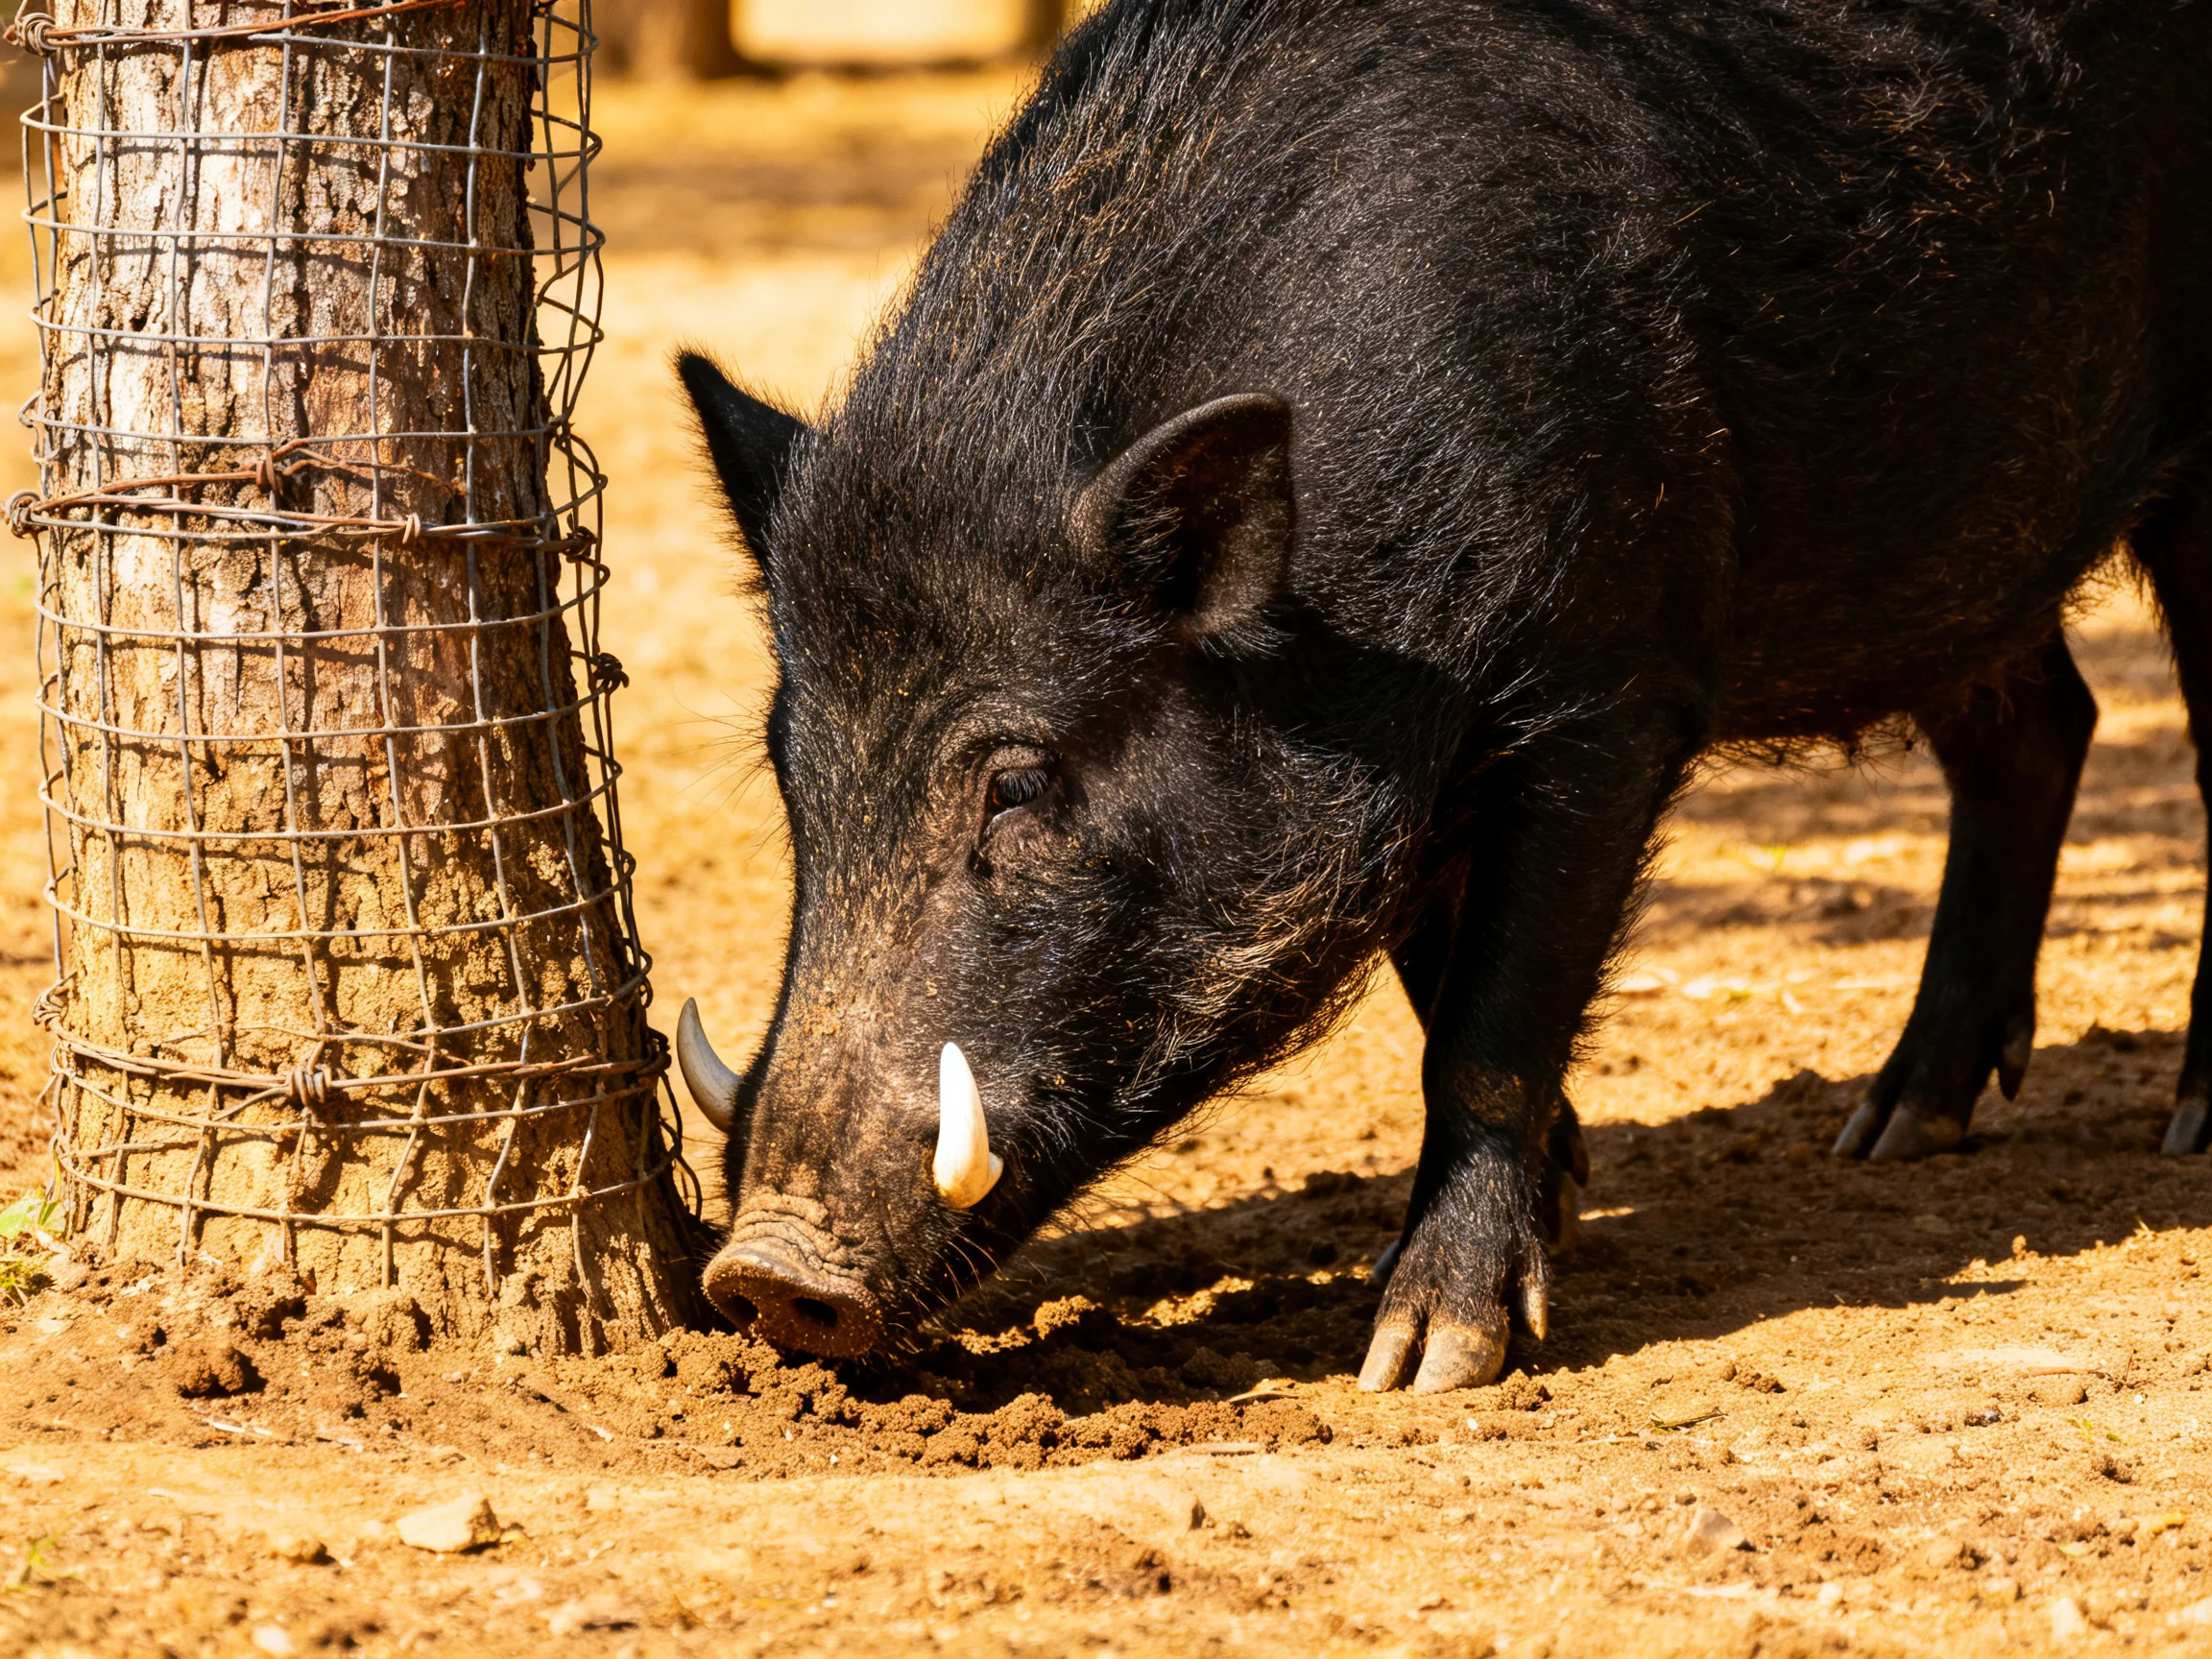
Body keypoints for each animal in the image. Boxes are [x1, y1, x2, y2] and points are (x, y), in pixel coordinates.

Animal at [672, 0, 2212, 1392]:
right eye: (791, 773)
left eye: (1018, 780)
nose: (762, 1275)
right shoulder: (1404, 758)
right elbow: (1429, 965)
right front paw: (1558, 1196)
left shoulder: (1609, 689)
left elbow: (1490, 1022)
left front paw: (1426, 1362)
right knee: (2043, 729)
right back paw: (1893, 1129)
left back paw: (2187, 1129)